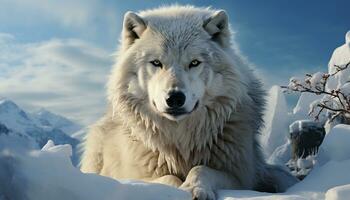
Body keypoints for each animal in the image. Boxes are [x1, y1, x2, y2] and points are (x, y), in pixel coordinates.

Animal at [80, 5, 298, 200]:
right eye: (156, 63)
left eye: (194, 63)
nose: (175, 98)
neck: (182, 142)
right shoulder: (133, 175)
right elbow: (168, 178)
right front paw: (176, 190)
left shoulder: (241, 176)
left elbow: (202, 168)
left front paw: (194, 187)